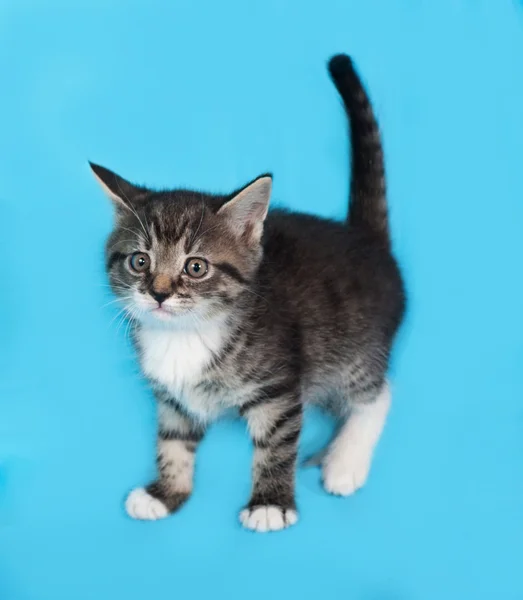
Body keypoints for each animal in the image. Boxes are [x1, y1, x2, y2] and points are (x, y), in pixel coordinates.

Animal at [92, 55, 408, 536]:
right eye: (139, 261)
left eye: (196, 267)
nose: (159, 294)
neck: (187, 333)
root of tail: (366, 239)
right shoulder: (172, 398)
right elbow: (172, 440)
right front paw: (165, 494)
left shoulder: (279, 388)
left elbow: (276, 447)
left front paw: (270, 504)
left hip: (353, 348)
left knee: (378, 392)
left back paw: (344, 464)